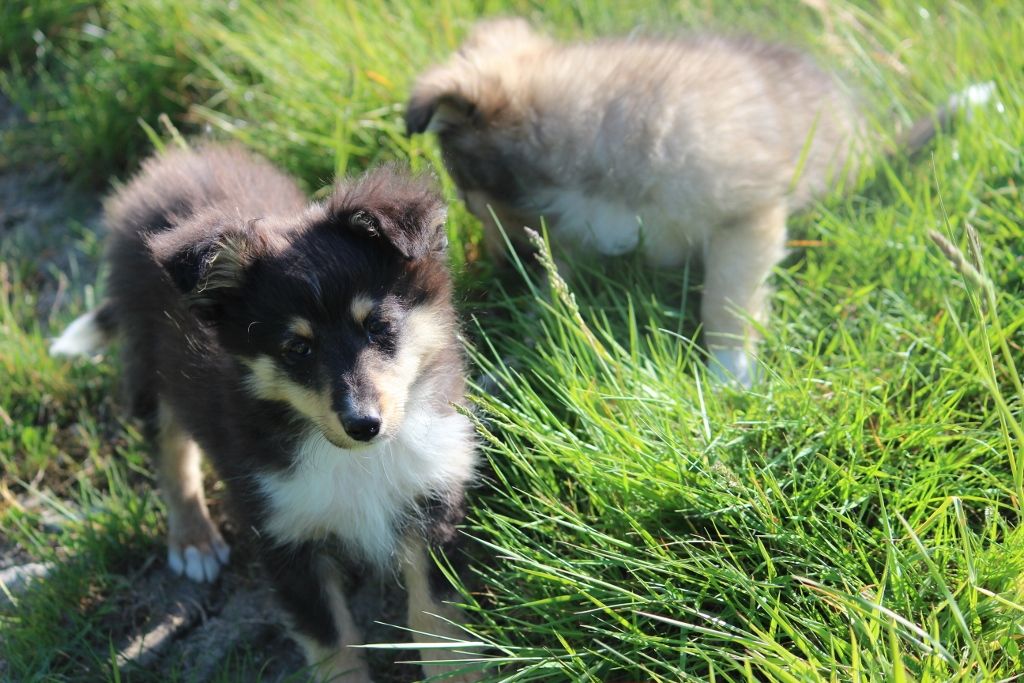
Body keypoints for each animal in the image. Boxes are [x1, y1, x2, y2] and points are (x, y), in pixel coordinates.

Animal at [51, 145, 480, 682]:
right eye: (297, 349)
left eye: (378, 326)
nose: (364, 425)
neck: (353, 459)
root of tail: (177, 160)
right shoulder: (284, 536)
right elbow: (334, 646)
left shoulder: (433, 499)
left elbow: (437, 623)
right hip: (149, 368)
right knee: (171, 454)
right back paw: (194, 541)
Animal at [406, 18, 992, 386]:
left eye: (470, 199)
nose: (498, 268)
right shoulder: (572, 244)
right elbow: (552, 308)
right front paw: (501, 369)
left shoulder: (746, 218)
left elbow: (726, 299)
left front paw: (730, 372)